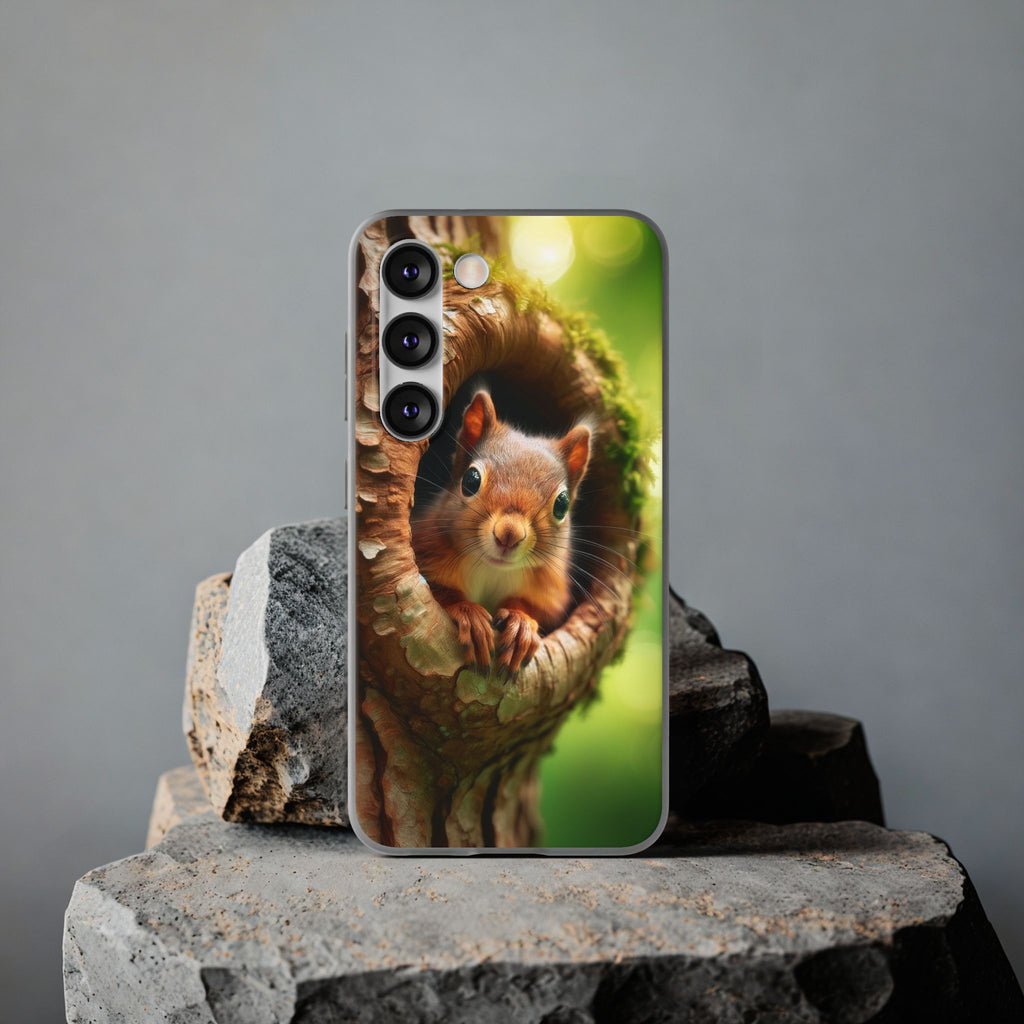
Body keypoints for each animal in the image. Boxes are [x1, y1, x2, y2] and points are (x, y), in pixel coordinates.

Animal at [412, 390, 592, 676]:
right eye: (471, 480)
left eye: (562, 504)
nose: (509, 534)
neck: (492, 569)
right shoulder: (427, 546)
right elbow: (439, 591)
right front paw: (469, 613)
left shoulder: (550, 589)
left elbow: (538, 609)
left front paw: (520, 624)